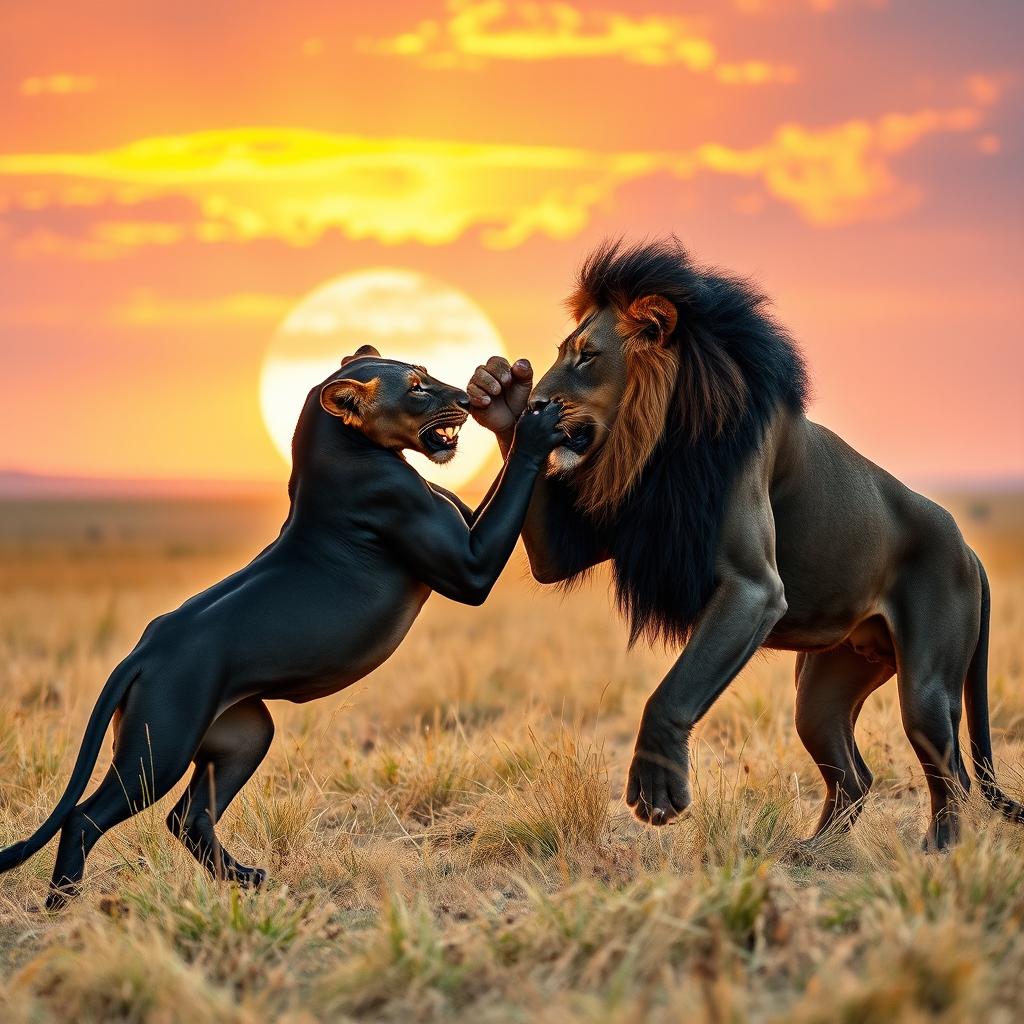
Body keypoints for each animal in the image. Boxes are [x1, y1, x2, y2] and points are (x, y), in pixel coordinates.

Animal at [468, 238, 1021, 850]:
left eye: (587, 357)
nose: (536, 403)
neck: (659, 438)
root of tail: (971, 550)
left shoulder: (754, 588)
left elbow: (671, 692)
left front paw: (657, 791)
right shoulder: (593, 537)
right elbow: (554, 561)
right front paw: (499, 394)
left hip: (926, 686)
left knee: (950, 773)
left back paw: (939, 849)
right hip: (822, 693)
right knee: (854, 775)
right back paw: (812, 852)